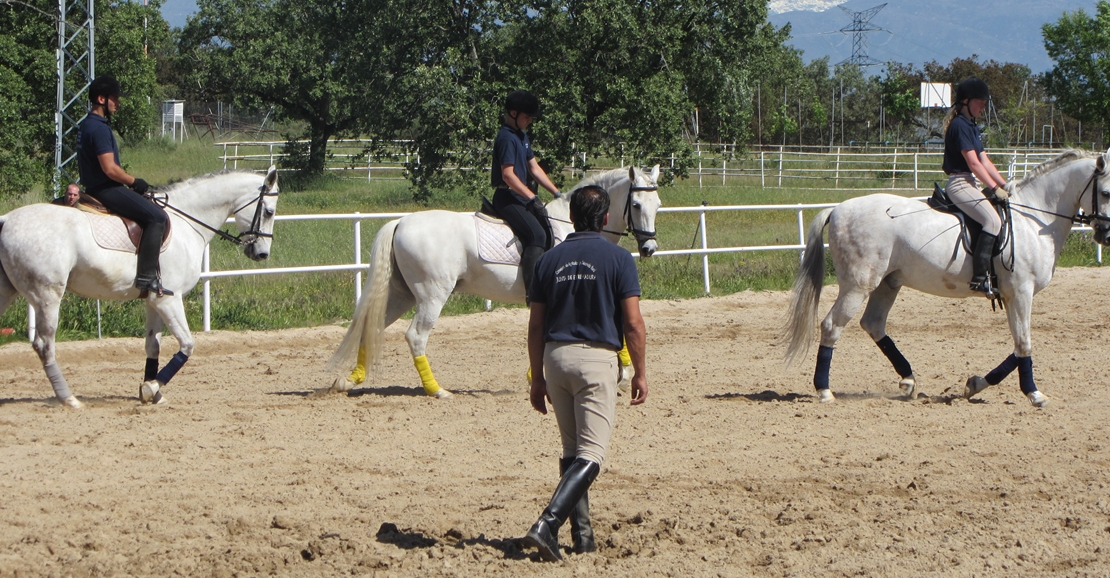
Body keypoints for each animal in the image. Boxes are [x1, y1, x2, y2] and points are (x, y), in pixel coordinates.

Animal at [0, 165, 281, 406]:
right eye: (269, 211)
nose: (263, 254)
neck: (186, 224)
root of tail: (6, 219)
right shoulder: (169, 299)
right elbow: (187, 344)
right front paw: (151, 387)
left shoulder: (154, 300)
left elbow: (152, 346)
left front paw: (152, 393)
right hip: (48, 295)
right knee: (45, 345)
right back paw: (69, 399)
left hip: (10, 292)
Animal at [324, 164, 661, 394]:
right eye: (636, 205)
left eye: (657, 206)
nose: (649, 248)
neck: (572, 225)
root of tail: (401, 222)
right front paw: (622, 374)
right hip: (432, 295)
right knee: (416, 336)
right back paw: (437, 390)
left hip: (401, 294)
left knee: (372, 326)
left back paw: (349, 380)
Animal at [781, 150, 1110, 408]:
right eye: (1106, 193)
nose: (1105, 235)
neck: (1031, 220)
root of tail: (838, 208)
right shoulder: (1020, 292)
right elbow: (1024, 343)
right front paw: (1034, 394)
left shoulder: (1014, 295)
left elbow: (1018, 347)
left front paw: (975, 384)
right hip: (858, 285)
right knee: (832, 326)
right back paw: (824, 391)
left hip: (889, 283)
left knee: (873, 324)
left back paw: (908, 381)